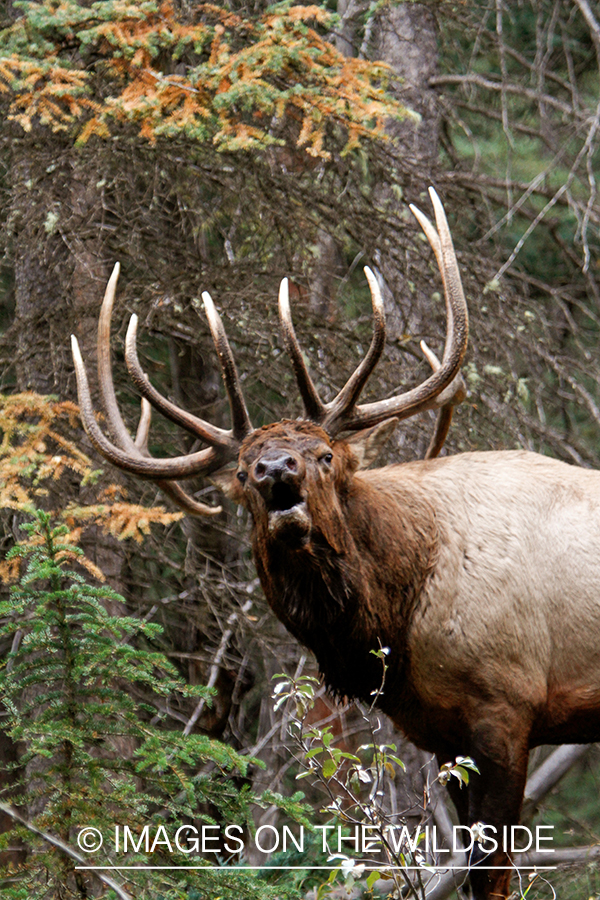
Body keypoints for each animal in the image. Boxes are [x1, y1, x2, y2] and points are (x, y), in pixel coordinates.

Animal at [70, 186, 600, 896]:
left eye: (323, 454)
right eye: (243, 473)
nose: (276, 470)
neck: (401, 614)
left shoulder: (506, 707)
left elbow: (493, 876)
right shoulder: (445, 735)